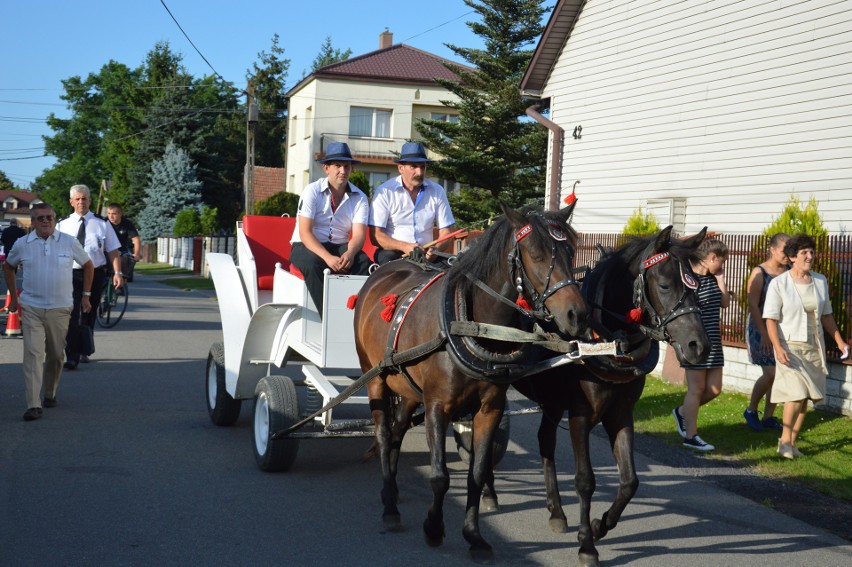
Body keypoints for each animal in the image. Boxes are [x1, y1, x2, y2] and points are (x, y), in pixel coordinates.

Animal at [352, 204, 584, 564]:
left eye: (571, 252)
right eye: (536, 254)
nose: (576, 314)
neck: (474, 325)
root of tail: (382, 272)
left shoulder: (489, 409)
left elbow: (476, 473)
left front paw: (475, 536)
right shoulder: (437, 406)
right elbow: (439, 476)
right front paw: (434, 528)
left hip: (407, 388)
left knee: (398, 430)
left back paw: (392, 486)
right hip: (375, 377)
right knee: (383, 432)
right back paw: (389, 504)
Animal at [510, 227, 708, 567]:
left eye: (697, 284)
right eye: (665, 284)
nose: (699, 346)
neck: (609, 343)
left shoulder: (620, 414)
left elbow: (630, 482)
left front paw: (599, 525)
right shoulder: (580, 418)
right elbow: (585, 480)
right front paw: (587, 545)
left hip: (551, 402)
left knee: (545, 441)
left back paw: (556, 512)